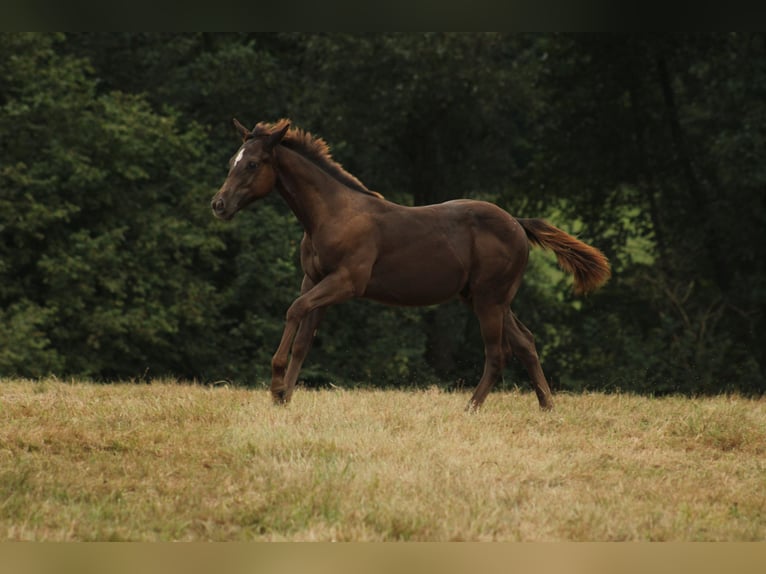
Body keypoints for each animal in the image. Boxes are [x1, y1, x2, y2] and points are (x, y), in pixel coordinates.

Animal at [210, 119, 612, 412]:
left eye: (252, 164)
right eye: (231, 162)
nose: (218, 204)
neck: (331, 214)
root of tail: (516, 222)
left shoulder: (345, 282)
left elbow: (294, 311)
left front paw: (276, 384)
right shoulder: (313, 280)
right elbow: (304, 339)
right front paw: (284, 398)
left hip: (489, 299)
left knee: (498, 354)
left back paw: (470, 408)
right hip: (485, 298)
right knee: (526, 343)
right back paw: (547, 406)